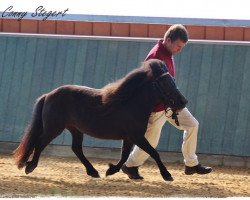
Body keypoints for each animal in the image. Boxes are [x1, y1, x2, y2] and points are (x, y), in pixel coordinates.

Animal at [12, 59, 187, 181]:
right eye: (165, 83)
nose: (183, 101)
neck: (131, 103)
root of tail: (48, 95)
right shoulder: (136, 136)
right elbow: (153, 152)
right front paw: (167, 175)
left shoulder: (129, 137)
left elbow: (124, 156)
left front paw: (110, 170)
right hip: (54, 128)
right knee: (40, 142)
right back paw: (30, 166)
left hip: (75, 129)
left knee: (76, 148)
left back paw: (93, 171)